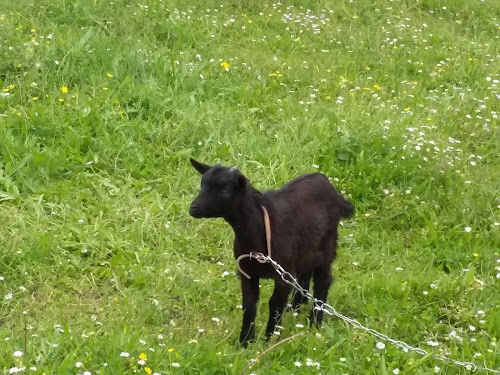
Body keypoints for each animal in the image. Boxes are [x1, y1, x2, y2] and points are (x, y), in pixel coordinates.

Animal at [189, 158, 354, 346]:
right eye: (202, 185)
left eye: (224, 190)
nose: (193, 208)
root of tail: (332, 189)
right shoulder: (246, 272)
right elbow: (249, 305)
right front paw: (245, 341)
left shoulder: (283, 274)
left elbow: (274, 304)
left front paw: (270, 338)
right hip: (306, 251)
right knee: (305, 275)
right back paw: (295, 308)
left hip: (327, 248)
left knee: (323, 281)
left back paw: (315, 324)